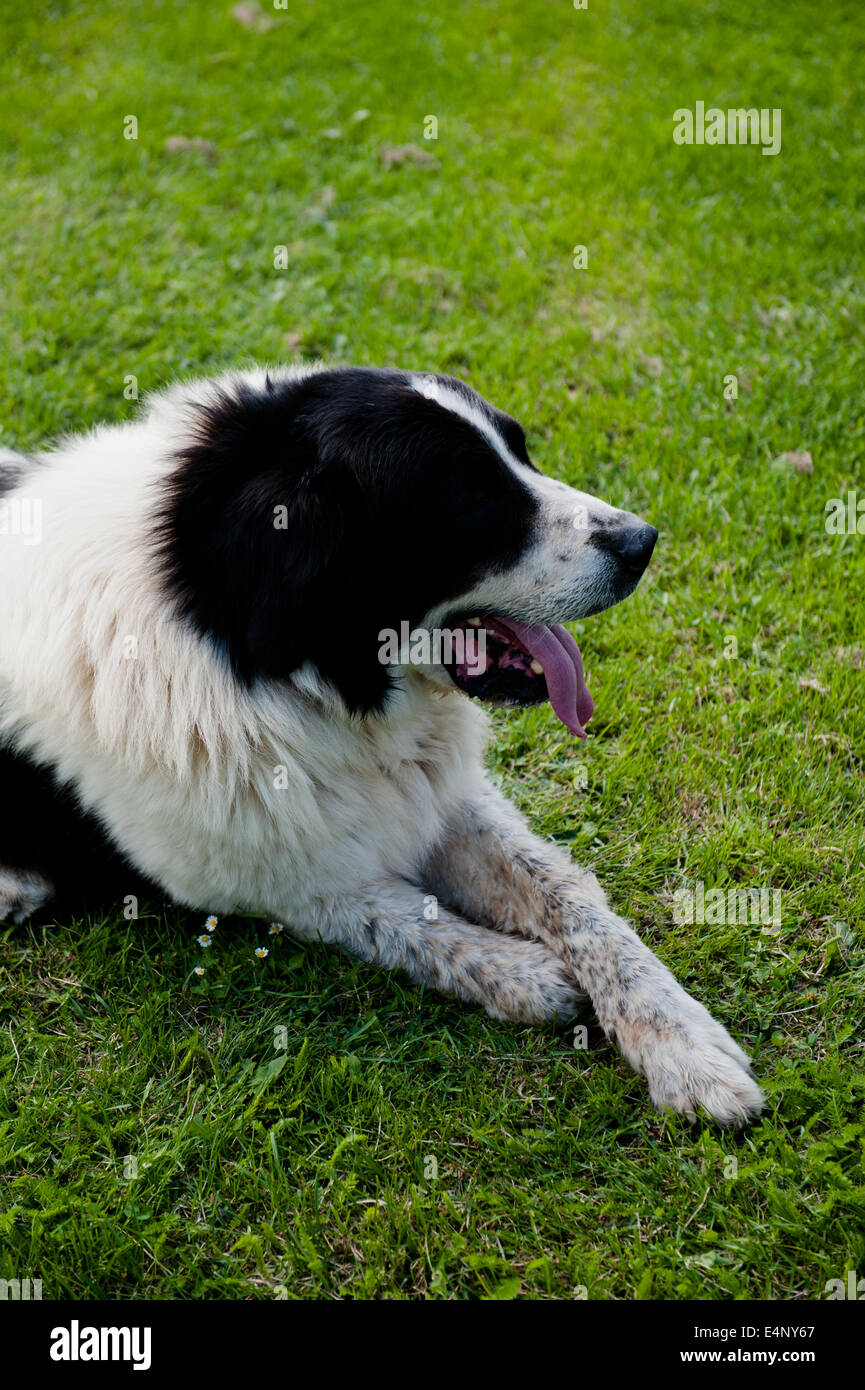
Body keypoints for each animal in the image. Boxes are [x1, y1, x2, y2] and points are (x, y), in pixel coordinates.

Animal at [0, 369, 762, 1128]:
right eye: (473, 495)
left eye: (521, 453)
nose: (643, 542)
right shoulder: (272, 879)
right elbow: (404, 920)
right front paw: (527, 974)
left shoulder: (438, 796)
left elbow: (568, 895)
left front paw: (683, 1043)